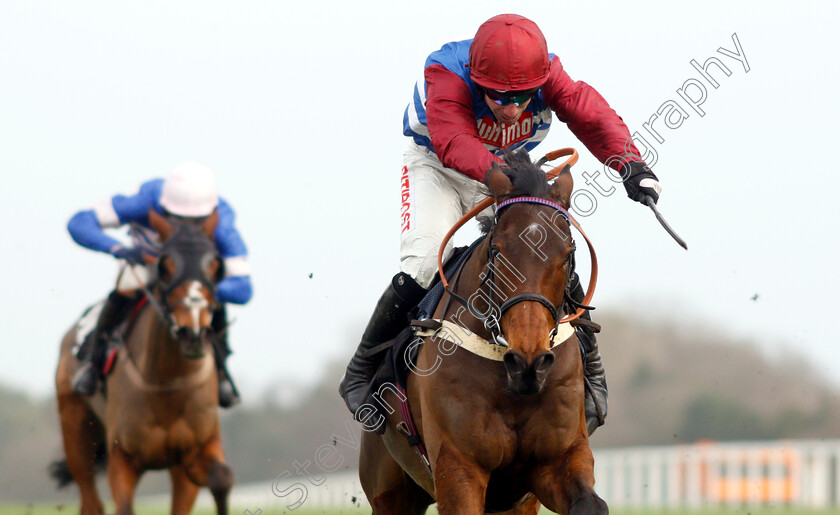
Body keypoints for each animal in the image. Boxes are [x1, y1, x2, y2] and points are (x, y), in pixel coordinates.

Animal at [53, 210, 233, 515]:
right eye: (165, 266)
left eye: (216, 265)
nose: (193, 332)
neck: (167, 382)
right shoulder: (122, 457)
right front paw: (128, 252)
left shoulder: (196, 450)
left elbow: (221, 478)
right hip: (75, 427)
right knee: (91, 501)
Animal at [358, 150, 608, 515]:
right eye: (498, 251)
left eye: (568, 255)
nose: (529, 362)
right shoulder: (458, 467)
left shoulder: (556, 462)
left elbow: (591, 503)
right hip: (388, 494)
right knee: (411, 275)